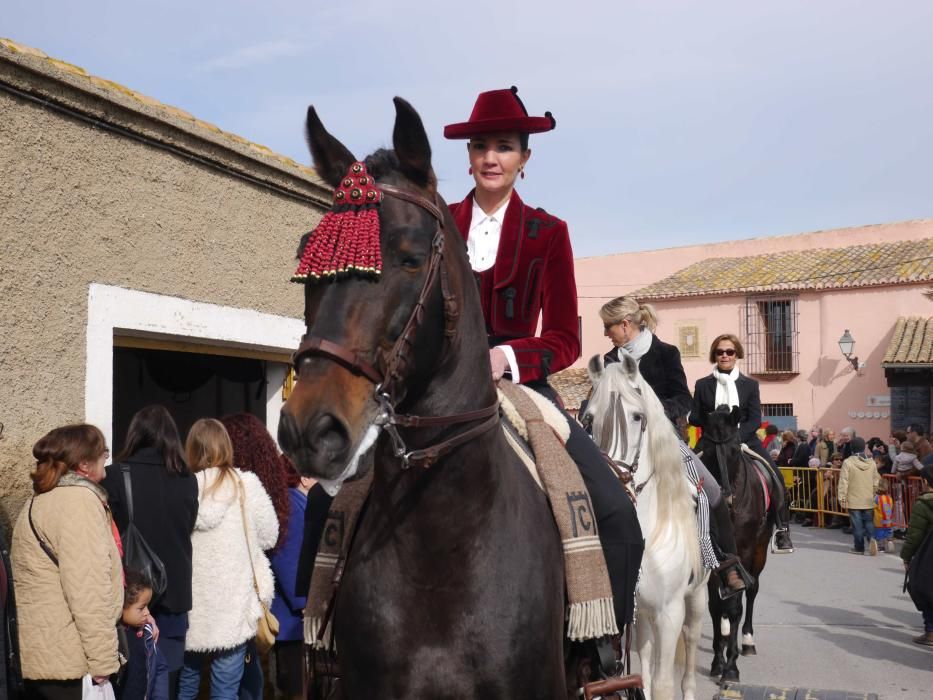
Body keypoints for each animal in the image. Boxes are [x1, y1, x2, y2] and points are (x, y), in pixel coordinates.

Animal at [588, 352, 708, 700]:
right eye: (587, 418)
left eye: (637, 417)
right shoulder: (631, 610)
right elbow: (642, 675)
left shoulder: (670, 611)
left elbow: (665, 683)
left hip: (697, 596)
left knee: (691, 642)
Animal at [692, 404, 772, 684]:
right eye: (706, 447)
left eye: (735, 449)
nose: (723, 497)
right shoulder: (712, 554)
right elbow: (717, 607)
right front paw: (718, 661)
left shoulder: (745, 551)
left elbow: (737, 605)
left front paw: (731, 667)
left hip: (760, 551)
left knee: (753, 589)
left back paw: (747, 641)